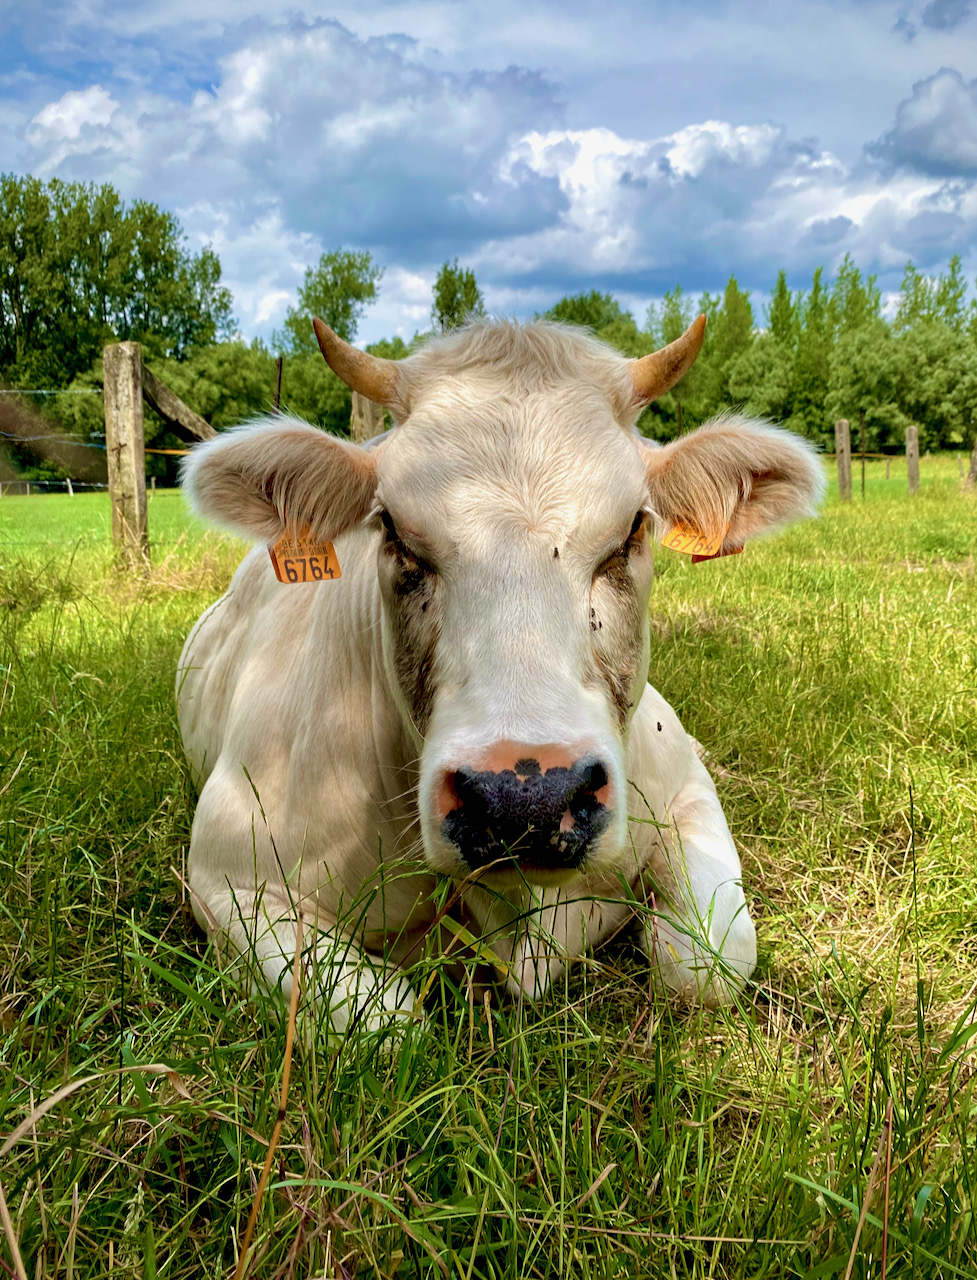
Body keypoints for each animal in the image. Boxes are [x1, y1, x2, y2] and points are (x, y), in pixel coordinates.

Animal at [177, 314, 824, 1034]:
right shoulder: (229, 879)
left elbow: (709, 963)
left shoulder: (683, 789)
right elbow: (389, 1026)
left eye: (633, 527)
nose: (525, 800)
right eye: (393, 531)